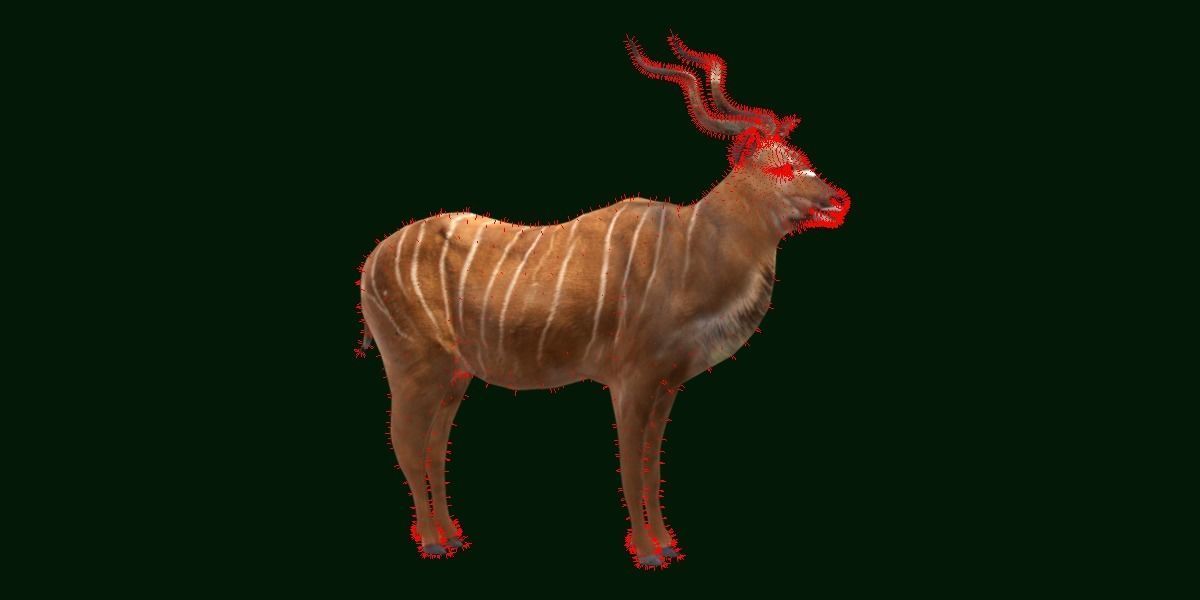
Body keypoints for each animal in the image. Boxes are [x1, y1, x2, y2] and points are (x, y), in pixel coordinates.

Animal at [357, 34, 850, 568]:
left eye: (801, 155)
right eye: (781, 165)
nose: (838, 200)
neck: (690, 248)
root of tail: (370, 262)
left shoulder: (666, 384)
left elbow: (652, 465)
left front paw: (668, 543)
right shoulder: (631, 379)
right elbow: (632, 467)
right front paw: (649, 553)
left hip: (455, 374)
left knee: (433, 445)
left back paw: (452, 537)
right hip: (413, 365)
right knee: (407, 444)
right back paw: (431, 541)